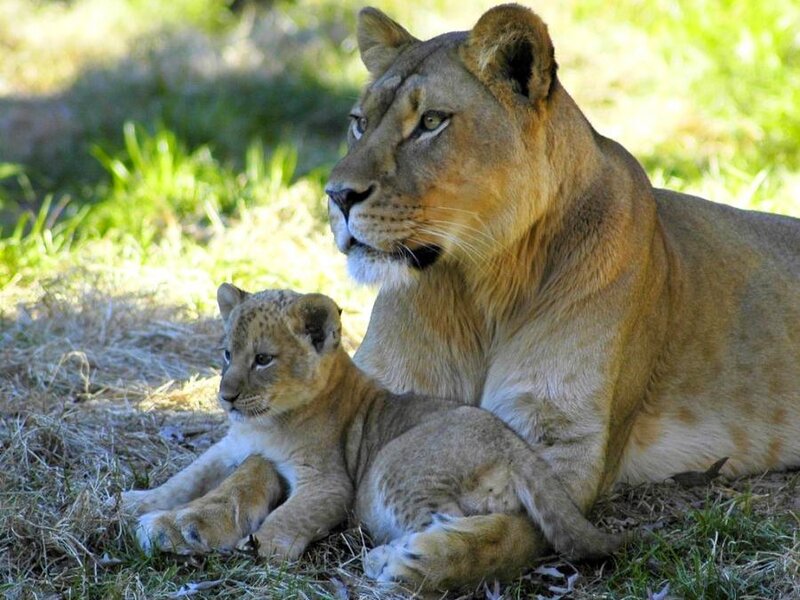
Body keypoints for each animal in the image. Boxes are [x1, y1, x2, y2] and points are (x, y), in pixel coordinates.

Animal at [122, 285, 622, 589]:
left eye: (263, 359)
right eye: (227, 354)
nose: (225, 396)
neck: (265, 423)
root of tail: (516, 447)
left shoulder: (330, 481)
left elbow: (290, 514)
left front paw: (269, 546)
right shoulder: (233, 447)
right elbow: (188, 477)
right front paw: (138, 502)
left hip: (392, 467)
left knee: (456, 522)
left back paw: (392, 561)